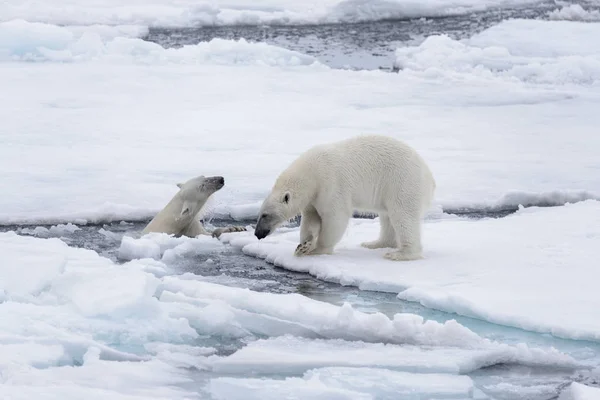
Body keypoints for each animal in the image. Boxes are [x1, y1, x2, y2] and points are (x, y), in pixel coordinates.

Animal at [253, 134, 436, 260]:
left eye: (265, 215)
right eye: (259, 214)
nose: (257, 233)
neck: (311, 174)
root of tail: (429, 177)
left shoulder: (330, 183)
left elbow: (335, 218)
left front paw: (317, 249)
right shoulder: (313, 198)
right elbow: (311, 219)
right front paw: (303, 246)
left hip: (402, 182)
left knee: (403, 216)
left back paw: (400, 254)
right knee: (387, 217)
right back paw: (375, 243)